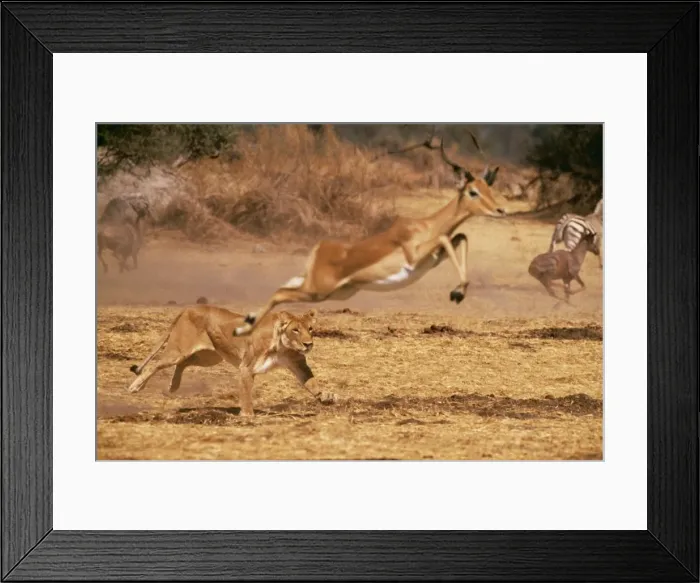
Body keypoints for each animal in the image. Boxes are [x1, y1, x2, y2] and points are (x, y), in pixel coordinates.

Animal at [126, 306, 337, 416]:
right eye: (295, 330)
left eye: (310, 329)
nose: (308, 344)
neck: (283, 346)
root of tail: (188, 308)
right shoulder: (246, 367)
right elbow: (246, 393)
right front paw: (248, 416)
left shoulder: (298, 363)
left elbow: (311, 382)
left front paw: (325, 397)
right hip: (178, 351)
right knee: (156, 365)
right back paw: (135, 387)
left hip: (209, 357)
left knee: (183, 364)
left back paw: (173, 386)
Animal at [233, 133, 508, 337]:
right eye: (472, 191)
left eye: (488, 188)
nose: (500, 210)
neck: (425, 226)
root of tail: (320, 249)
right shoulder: (415, 258)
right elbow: (446, 238)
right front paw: (457, 293)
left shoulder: (432, 259)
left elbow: (460, 237)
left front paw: (458, 292)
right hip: (318, 291)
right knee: (280, 293)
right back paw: (241, 330)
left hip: (334, 292)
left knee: (282, 287)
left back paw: (248, 320)